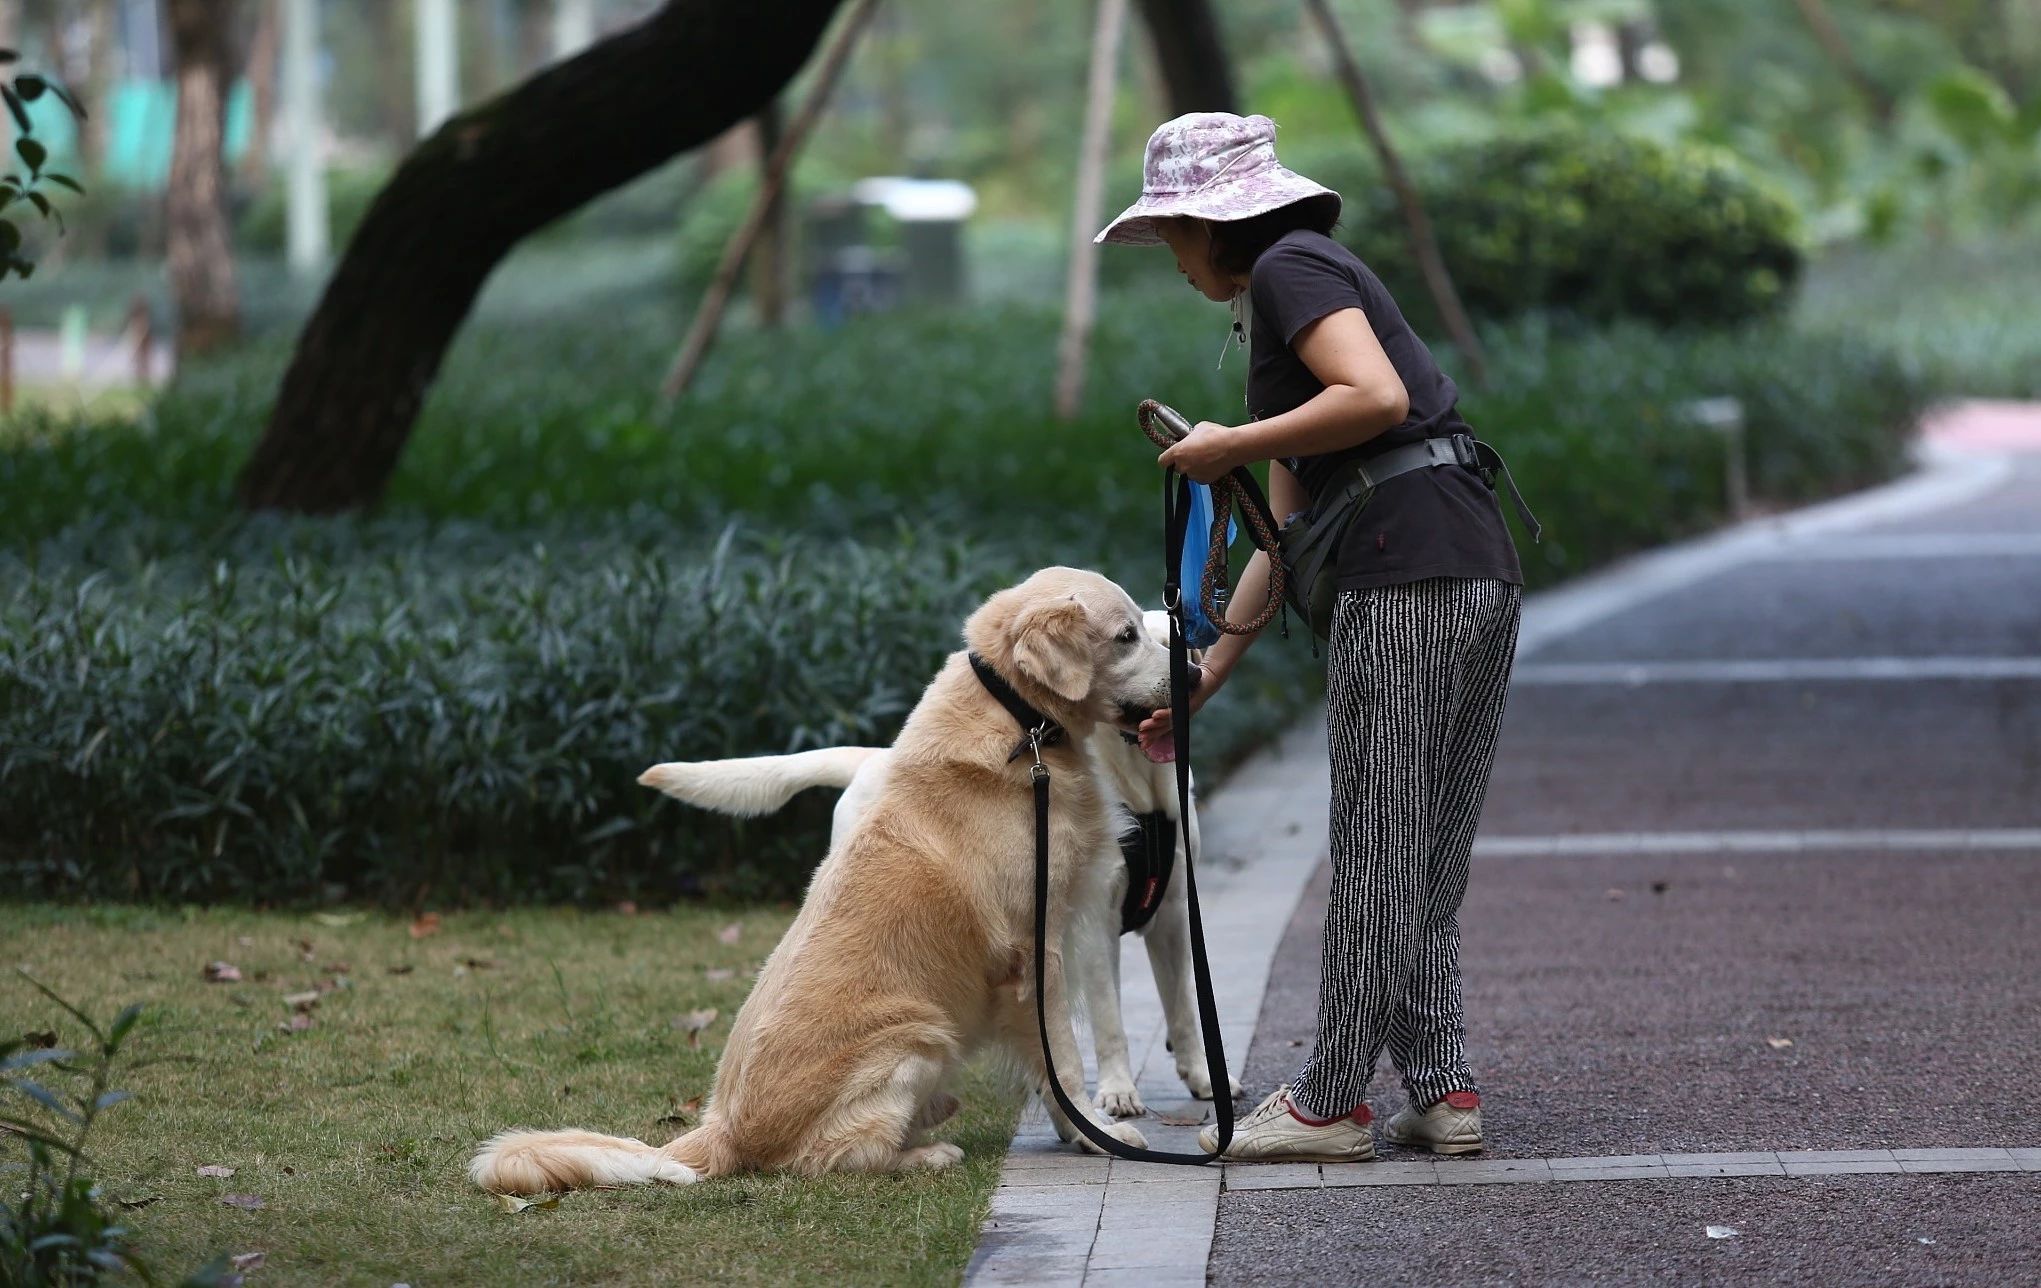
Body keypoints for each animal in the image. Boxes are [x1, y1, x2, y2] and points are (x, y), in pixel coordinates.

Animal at [467, 567, 1159, 1192]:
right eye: (1127, 635)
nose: (1184, 675)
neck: (1022, 724)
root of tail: (717, 1130)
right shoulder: (1034, 950)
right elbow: (1061, 1060)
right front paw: (1096, 1132)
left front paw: (1080, 1132)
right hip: (915, 1038)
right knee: (835, 1158)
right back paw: (928, 1152)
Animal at [644, 608, 1232, 1126]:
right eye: (1134, 641)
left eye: (1180, 643)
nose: (1193, 677)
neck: (1141, 788)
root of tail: (871, 758)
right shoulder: (1092, 924)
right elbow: (1111, 1021)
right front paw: (1117, 1091)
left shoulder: (1174, 911)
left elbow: (1185, 1004)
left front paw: (1202, 1074)